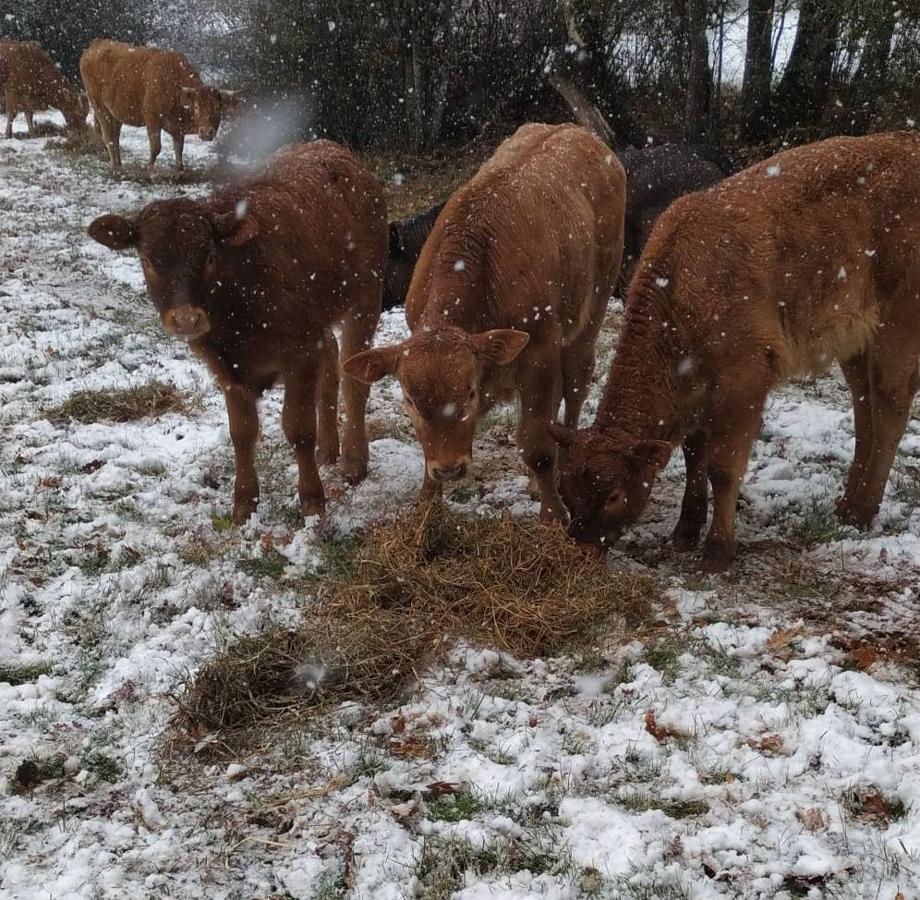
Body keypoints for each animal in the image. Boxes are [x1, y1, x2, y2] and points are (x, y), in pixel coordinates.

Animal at [79, 37, 235, 171]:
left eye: (217, 107)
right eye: (196, 107)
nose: (206, 132)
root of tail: (96, 44)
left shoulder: (177, 128)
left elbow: (179, 148)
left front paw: (179, 169)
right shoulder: (152, 119)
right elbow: (156, 148)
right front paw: (147, 167)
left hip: (114, 112)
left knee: (114, 136)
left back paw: (119, 164)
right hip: (99, 107)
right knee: (109, 137)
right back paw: (116, 167)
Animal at [344, 123, 624, 524]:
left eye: (469, 393)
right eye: (410, 400)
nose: (449, 469)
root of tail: (575, 131)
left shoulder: (538, 352)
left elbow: (536, 444)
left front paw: (553, 514)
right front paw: (426, 505)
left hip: (592, 309)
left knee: (576, 383)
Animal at [552, 131, 920, 572]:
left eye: (613, 495)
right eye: (566, 490)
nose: (580, 551)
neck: (679, 287)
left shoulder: (742, 384)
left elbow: (722, 467)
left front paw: (716, 550)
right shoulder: (697, 393)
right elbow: (694, 455)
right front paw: (684, 531)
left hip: (897, 330)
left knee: (890, 411)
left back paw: (863, 510)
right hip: (855, 344)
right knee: (865, 414)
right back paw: (846, 505)